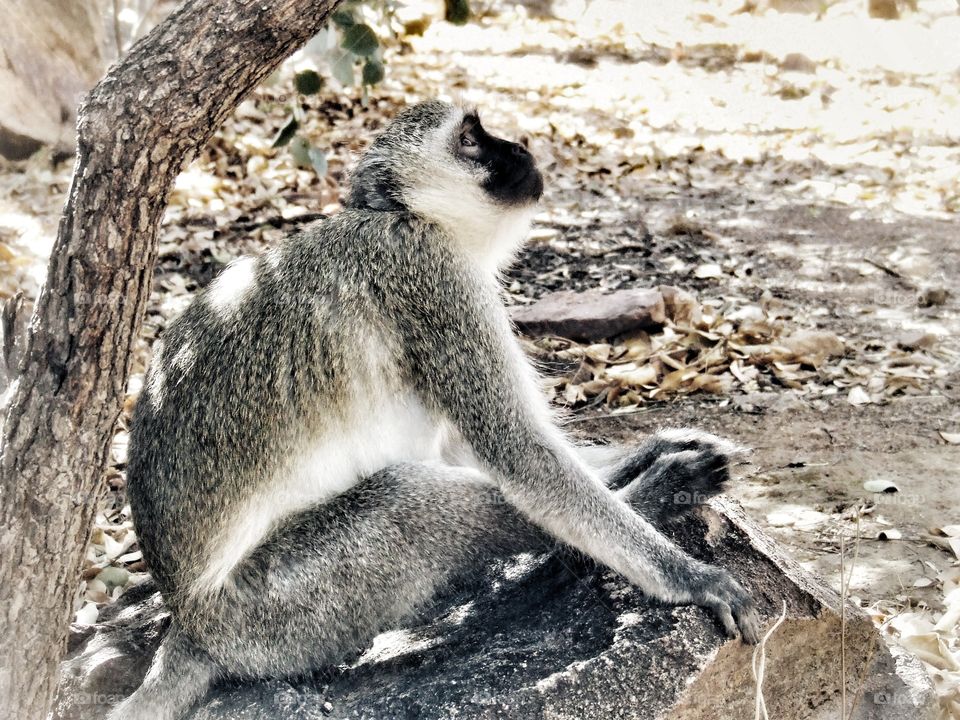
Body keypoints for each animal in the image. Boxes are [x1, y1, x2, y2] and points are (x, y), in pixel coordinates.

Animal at [109, 100, 760, 720]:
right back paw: (657, 493)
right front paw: (687, 576)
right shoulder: (433, 278)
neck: (405, 218)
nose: (521, 146)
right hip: (277, 610)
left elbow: (470, 445)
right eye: (470, 139)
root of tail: (189, 623)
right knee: (407, 499)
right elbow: (519, 454)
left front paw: (643, 449)